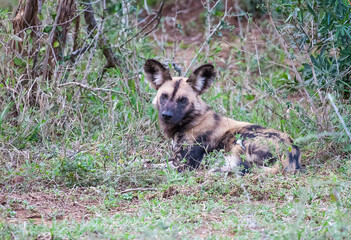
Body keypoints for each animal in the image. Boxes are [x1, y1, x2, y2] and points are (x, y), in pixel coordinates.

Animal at [144, 58, 302, 173]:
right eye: (164, 96)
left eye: (183, 100)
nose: (166, 115)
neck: (191, 121)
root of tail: (292, 151)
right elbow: (146, 161)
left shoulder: (183, 164)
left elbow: (148, 165)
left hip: (242, 139)